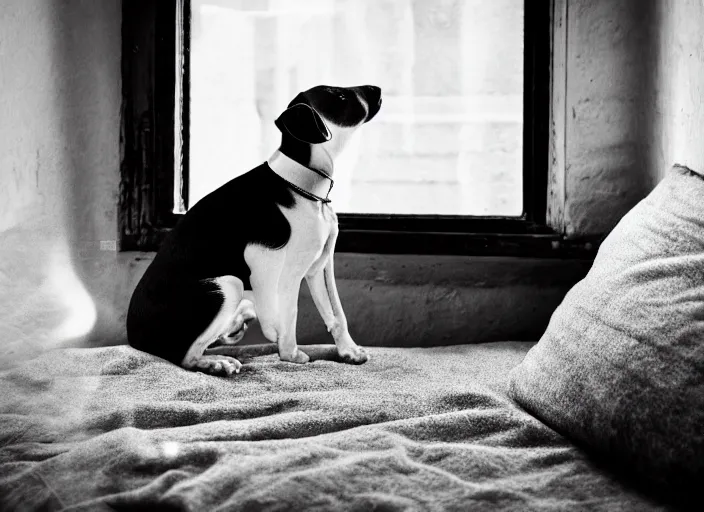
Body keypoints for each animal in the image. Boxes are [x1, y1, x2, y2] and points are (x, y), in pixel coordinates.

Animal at [125, 84, 380, 376]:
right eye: (339, 96)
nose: (376, 88)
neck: (304, 188)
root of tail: (134, 337)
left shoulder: (320, 267)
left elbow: (337, 313)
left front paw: (349, 351)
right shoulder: (270, 264)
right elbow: (288, 314)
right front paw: (290, 354)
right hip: (228, 286)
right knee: (186, 355)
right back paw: (218, 361)